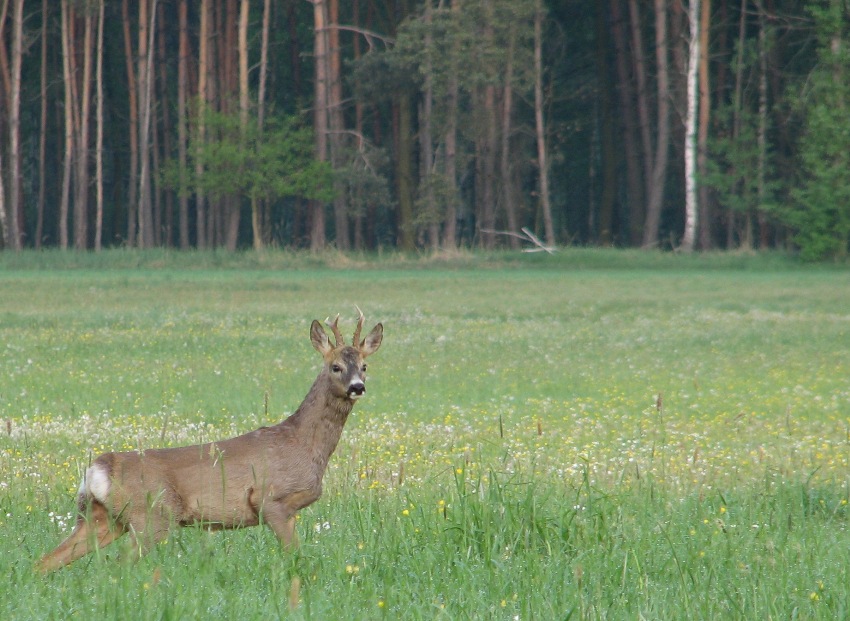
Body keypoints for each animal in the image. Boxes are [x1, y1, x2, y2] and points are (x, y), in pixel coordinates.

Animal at [38, 308, 382, 572]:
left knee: (46, 561)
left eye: (365, 366)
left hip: (103, 517)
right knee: (118, 564)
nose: (357, 386)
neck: (304, 444)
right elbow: (294, 556)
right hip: (151, 514)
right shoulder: (271, 499)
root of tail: (99, 467)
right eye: (335, 366)